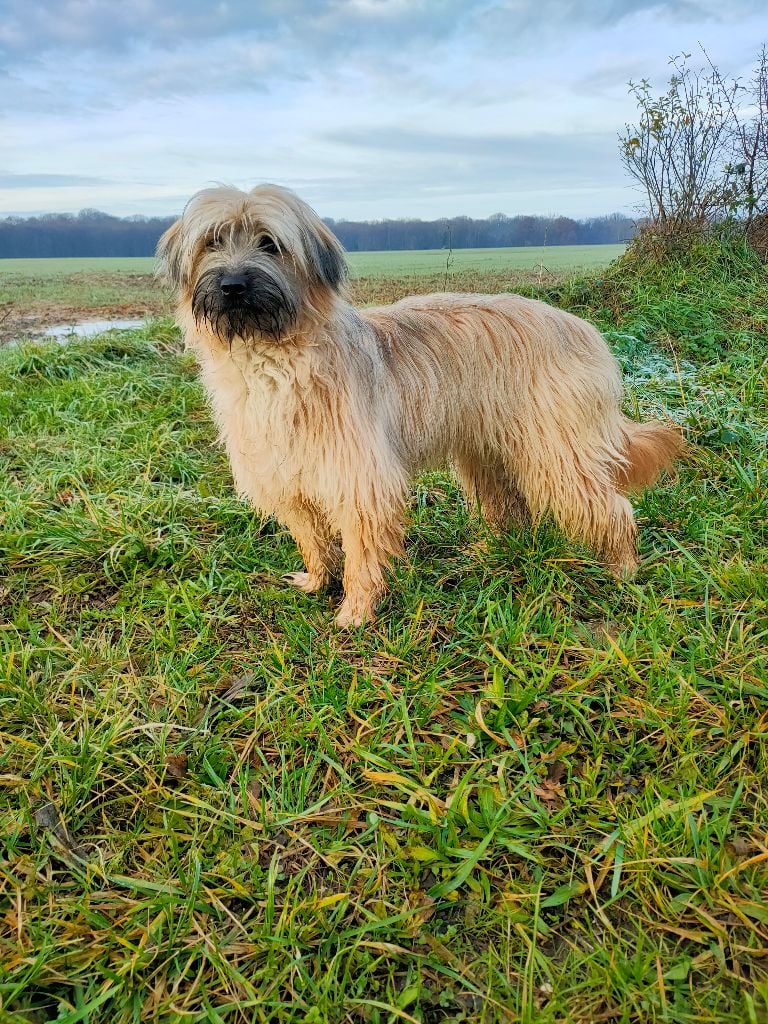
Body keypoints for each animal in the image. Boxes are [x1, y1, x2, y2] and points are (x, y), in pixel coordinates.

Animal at [157, 188, 684, 626]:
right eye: (212, 242)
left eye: (270, 244)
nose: (232, 285)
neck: (276, 358)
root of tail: (584, 329)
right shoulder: (285, 473)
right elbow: (311, 537)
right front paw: (317, 580)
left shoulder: (360, 478)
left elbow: (361, 550)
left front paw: (355, 610)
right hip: (489, 450)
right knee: (510, 508)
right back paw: (494, 551)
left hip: (558, 451)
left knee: (611, 507)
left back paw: (622, 568)